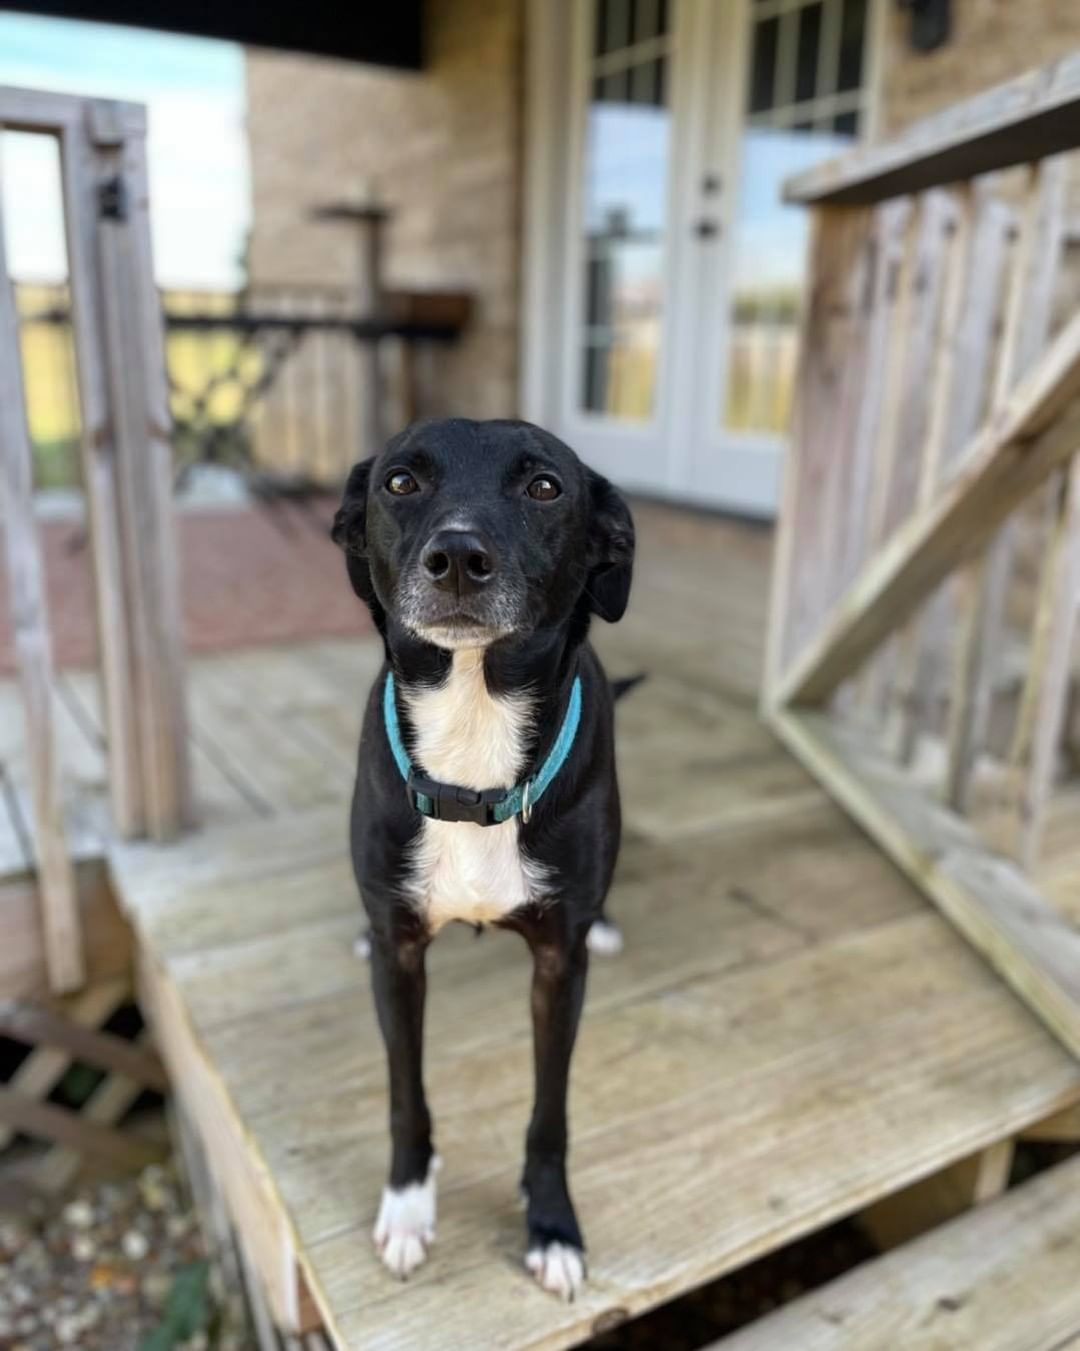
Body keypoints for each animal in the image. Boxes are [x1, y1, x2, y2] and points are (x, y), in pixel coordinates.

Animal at [331, 413, 632, 1296]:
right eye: (401, 481)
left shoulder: (559, 969)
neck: (472, 743)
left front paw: (553, 1224)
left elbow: (550, 1112)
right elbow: (406, 1094)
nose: (459, 556)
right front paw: (406, 1204)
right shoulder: (400, 959)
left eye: (545, 486)